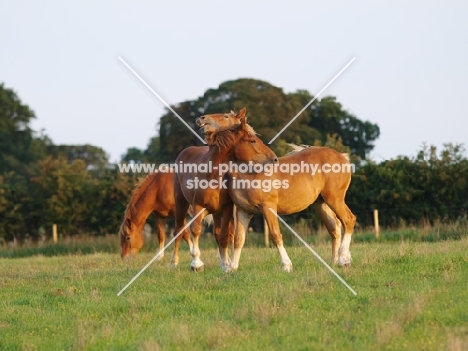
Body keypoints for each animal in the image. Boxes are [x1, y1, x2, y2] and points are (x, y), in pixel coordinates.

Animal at [197, 110, 354, 272]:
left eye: (225, 116)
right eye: (252, 140)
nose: (202, 119)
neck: (248, 173)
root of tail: (343, 157)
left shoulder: (268, 207)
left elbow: (275, 235)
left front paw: (286, 265)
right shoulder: (243, 211)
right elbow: (239, 238)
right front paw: (232, 268)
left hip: (334, 199)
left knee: (349, 220)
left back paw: (343, 258)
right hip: (320, 204)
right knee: (335, 227)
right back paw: (335, 261)